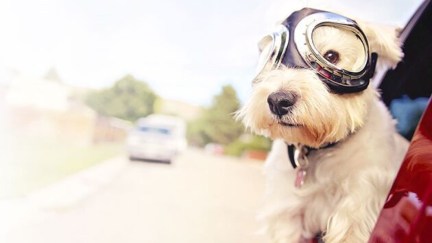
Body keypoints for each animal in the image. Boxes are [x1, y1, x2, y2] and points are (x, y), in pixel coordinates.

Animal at [238, 7, 410, 243]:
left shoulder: (361, 202)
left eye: (331, 56)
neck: (322, 148)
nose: (278, 101)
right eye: (273, 58)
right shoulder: (286, 211)